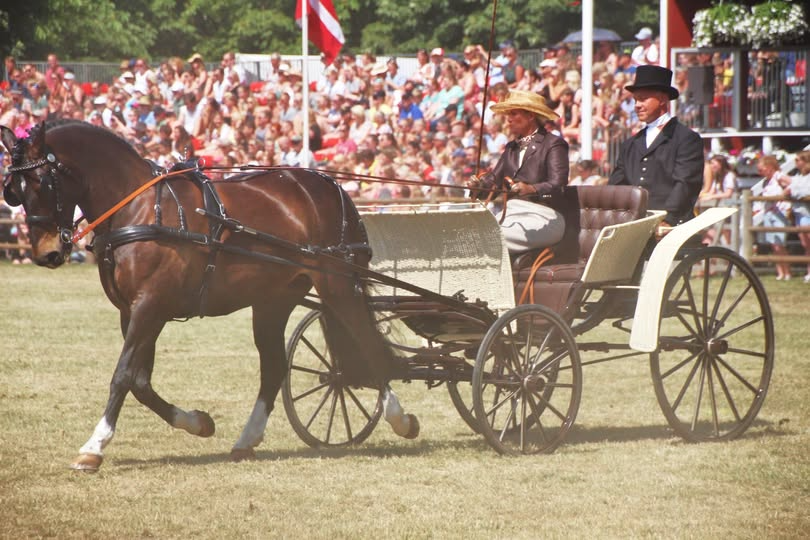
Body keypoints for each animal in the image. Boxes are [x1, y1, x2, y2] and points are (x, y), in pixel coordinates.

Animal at [1, 121, 416, 468]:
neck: (139, 208)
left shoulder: (150, 306)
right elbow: (140, 382)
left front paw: (94, 447)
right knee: (274, 366)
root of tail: (329, 186)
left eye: (41, 184)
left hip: (338, 284)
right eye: (13, 192)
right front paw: (198, 422)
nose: (47, 254)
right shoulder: (133, 311)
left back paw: (400, 419)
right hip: (273, 300)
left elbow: (122, 376)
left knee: (367, 345)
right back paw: (247, 439)